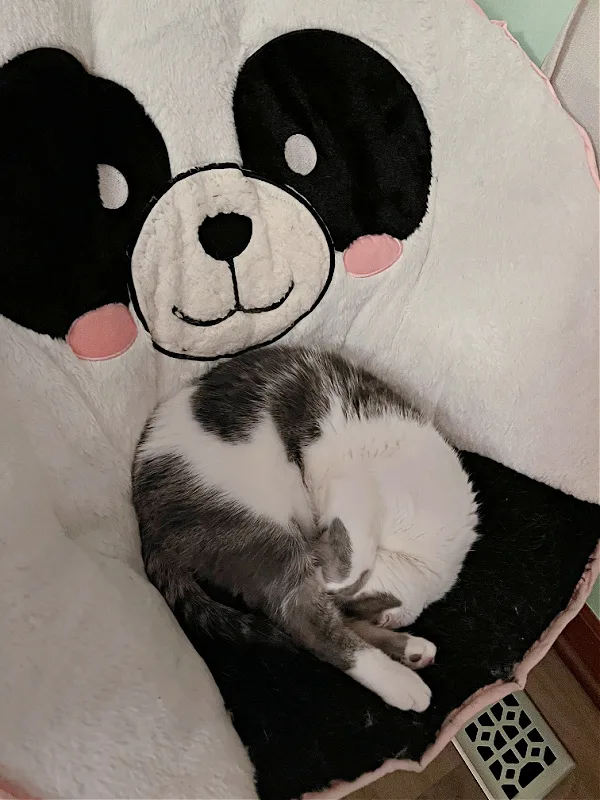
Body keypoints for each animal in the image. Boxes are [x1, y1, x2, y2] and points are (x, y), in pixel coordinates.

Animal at [131, 346, 478, 708]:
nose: (315, 545)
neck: (423, 551)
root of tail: (148, 521)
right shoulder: (357, 491)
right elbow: (355, 563)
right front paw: (337, 576)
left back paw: (411, 650)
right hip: (255, 523)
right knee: (305, 621)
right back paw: (401, 682)